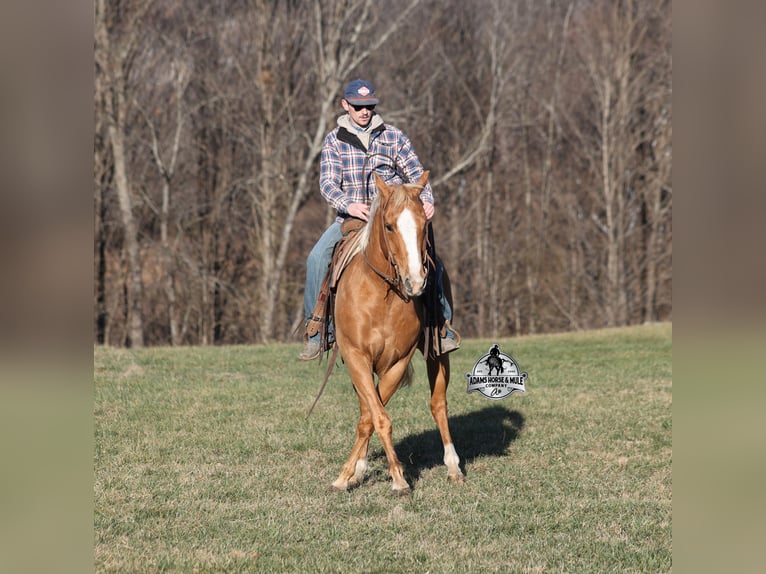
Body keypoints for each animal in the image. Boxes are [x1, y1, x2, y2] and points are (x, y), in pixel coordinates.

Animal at [330, 171, 464, 495]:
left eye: (424, 224)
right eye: (389, 225)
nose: (416, 282)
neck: (382, 295)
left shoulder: (397, 361)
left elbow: (374, 417)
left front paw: (396, 478)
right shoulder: (356, 357)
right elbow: (373, 414)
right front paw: (350, 474)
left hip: (437, 354)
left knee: (438, 404)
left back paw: (453, 466)